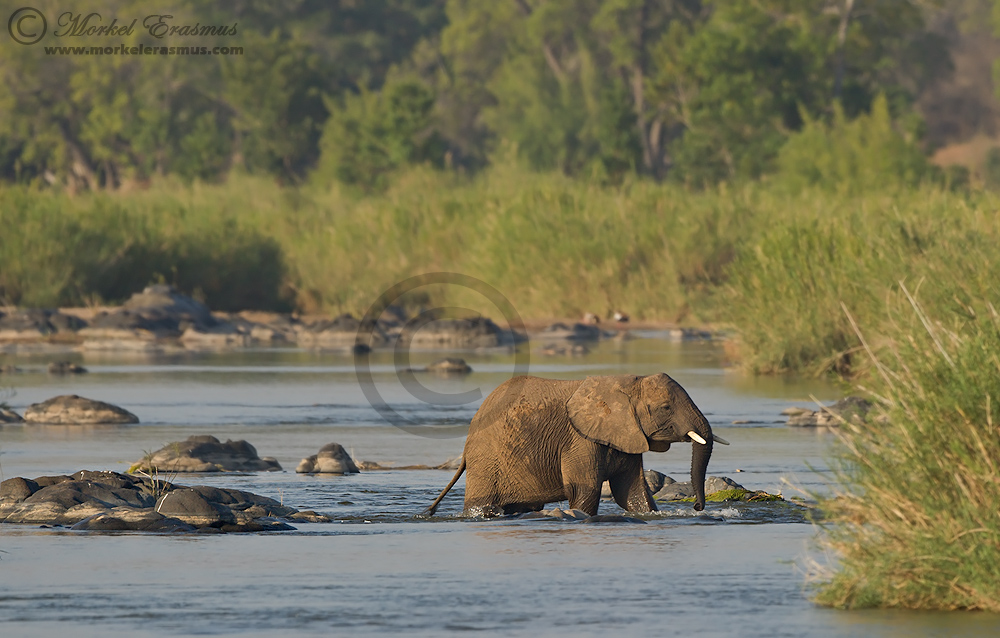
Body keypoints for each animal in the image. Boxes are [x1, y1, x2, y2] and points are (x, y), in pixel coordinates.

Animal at [423, 373, 728, 517]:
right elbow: (585, 489)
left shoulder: (625, 434)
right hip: (487, 459)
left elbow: (630, 493)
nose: (697, 507)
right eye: (665, 407)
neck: (625, 384)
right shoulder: (579, 440)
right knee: (483, 505)